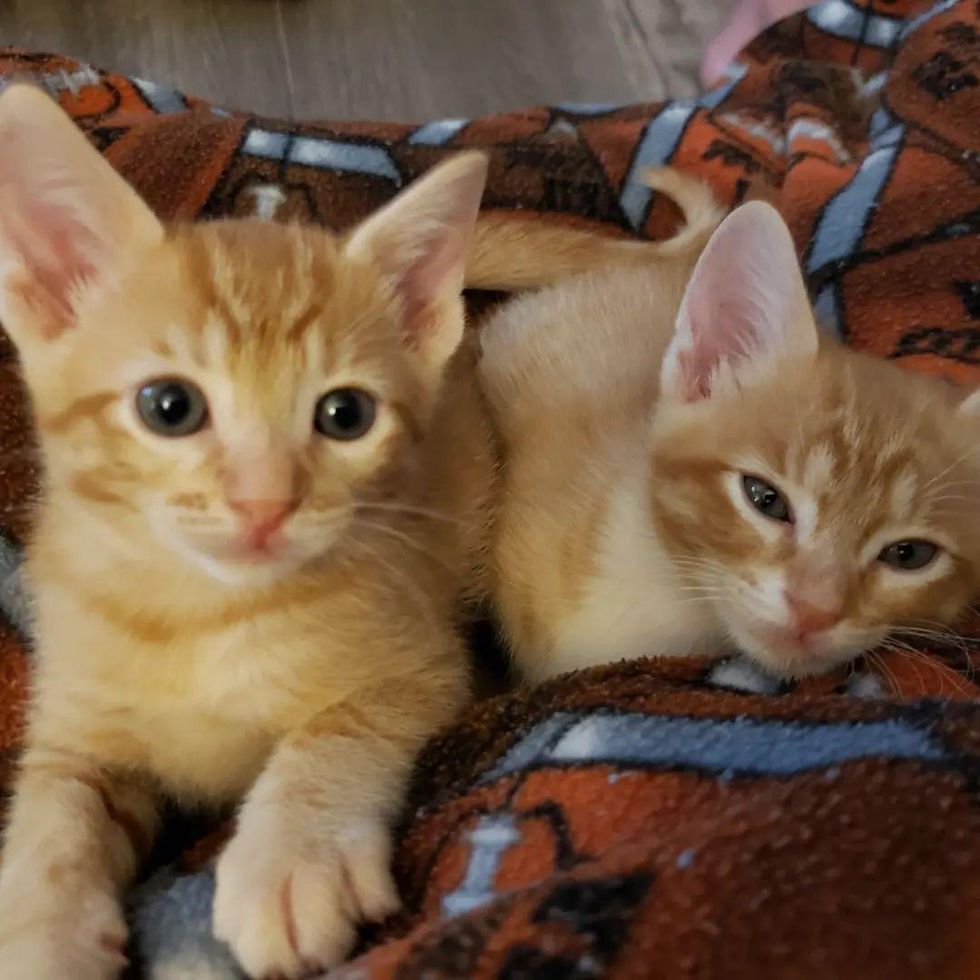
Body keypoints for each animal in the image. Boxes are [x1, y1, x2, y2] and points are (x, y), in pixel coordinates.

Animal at [0, 84, 502, 980]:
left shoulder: (430, 668)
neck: (197, 614)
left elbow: (339, 730)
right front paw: (38, 927)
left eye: (345, 415)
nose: (266, 503)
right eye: (169, 406)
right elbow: (55, 806)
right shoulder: (73, 718)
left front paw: (292, 857)